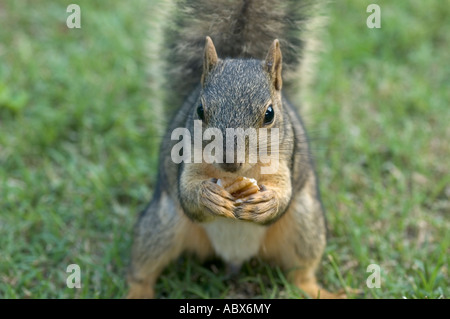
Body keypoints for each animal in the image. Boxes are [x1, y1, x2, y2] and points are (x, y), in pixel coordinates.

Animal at [126, 0, 344, 300]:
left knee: (300, 273)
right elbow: (188, 192)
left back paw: (319, 290)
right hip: (161, 226)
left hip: (305, 225)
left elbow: (282, 193)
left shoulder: (284, 160)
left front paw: (268, 202)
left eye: (269, 114)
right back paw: (138, 291)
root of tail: (235, 257)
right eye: (200, 110)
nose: (230, 162)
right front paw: (208, 196)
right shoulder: (187, 157)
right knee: (143, 269)